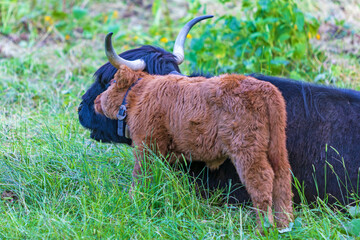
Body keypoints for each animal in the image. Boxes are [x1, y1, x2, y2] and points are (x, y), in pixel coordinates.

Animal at [95, 64, 292, 228]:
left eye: (111, 82)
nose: (96, 100)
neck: (140, 93)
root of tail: (265, 88)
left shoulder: (146, 145)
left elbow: (140, 175)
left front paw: (133, 201)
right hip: (277, 147)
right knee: (282, 177)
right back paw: (284, 223)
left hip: (246, 149)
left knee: (261, 180)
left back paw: (264, 228)